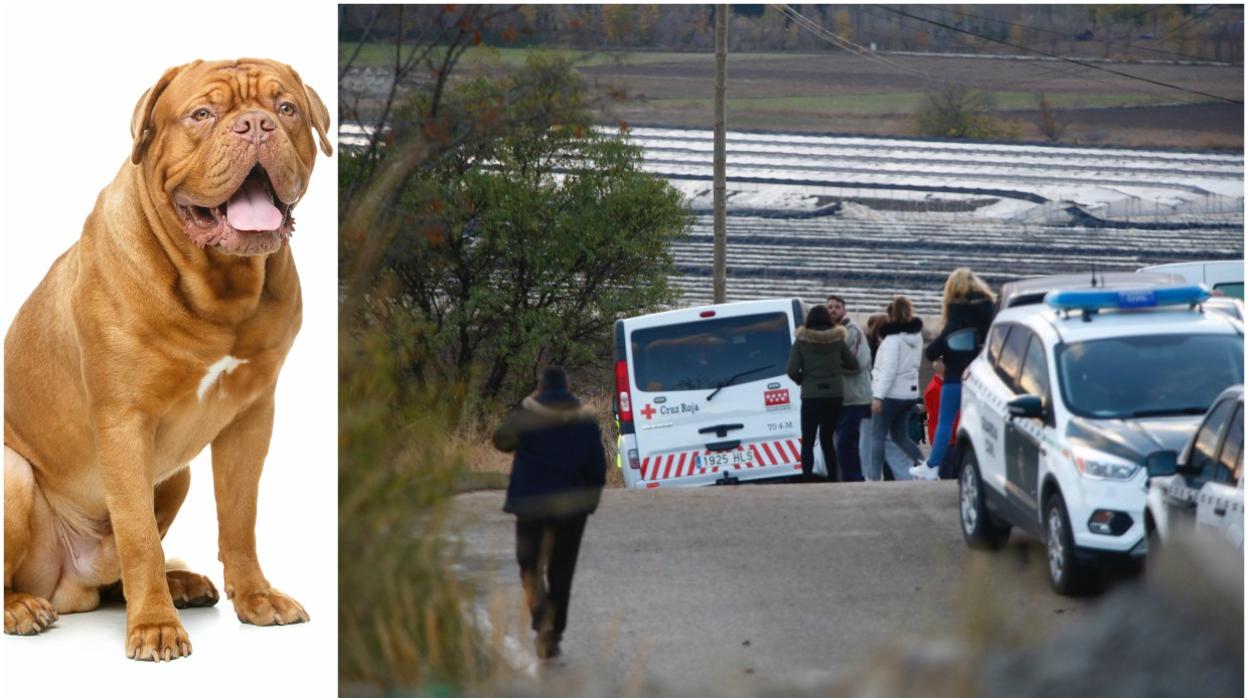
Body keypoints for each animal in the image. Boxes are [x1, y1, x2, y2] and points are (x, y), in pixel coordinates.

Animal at [2, 58, 331, 659]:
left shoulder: (253, 416)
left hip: (176, 475)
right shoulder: (123, 422)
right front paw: (154, 625)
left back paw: (182, 584)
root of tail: (69, 584)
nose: (256, 125)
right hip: (12, 471)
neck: (219, 284)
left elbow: (239, 517)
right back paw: (22, 608)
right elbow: (139, 537)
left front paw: (256, 598)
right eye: (201, 114)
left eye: (286, 108)